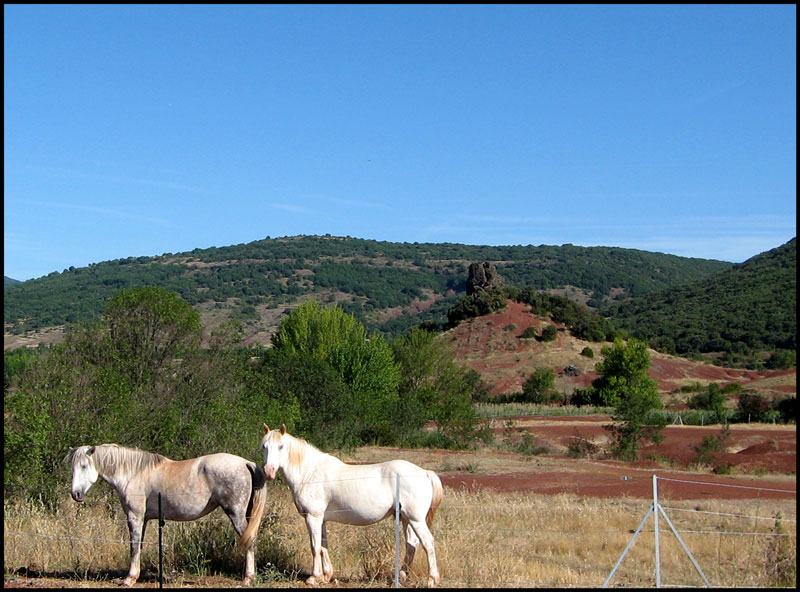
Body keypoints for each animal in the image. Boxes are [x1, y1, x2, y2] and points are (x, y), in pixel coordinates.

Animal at [260, 424, 444, 584]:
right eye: (264, 446)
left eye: (281, 446)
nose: (268, 472)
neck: (309, 472)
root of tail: (425, 472)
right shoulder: (321, 520)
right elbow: (323, 546)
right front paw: (327, 576)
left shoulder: (313, 517)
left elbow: (315, 546)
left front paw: (314, 578)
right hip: (406, 519)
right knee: (411, 544)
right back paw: (402, 576)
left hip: (416, 520)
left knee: (427, 543)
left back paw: (432, 579)